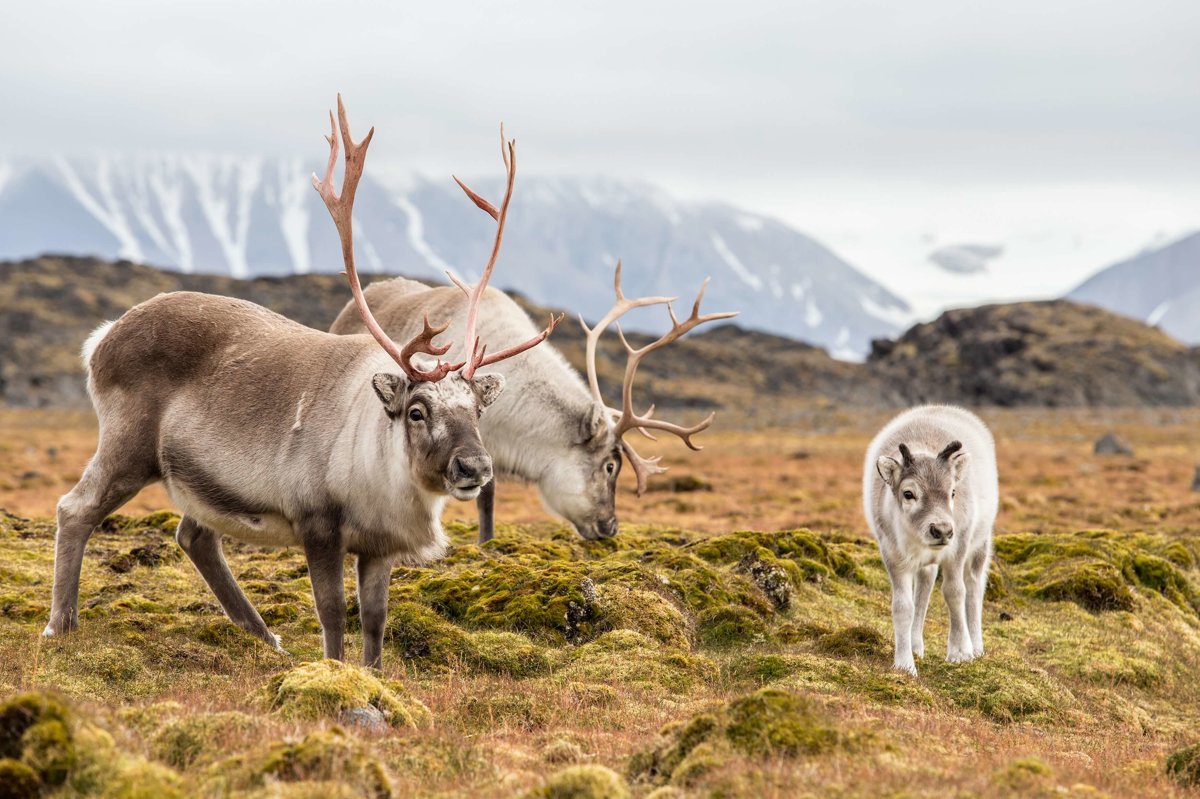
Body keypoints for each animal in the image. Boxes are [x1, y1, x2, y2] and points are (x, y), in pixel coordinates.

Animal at [859, 405, 998, 671]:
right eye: (908, 493)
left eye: (952, 492)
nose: (942, 530)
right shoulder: (893, 555)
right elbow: (903, 606)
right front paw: (904, 663)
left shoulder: (958, 548)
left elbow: (955, 592)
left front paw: (960, 651)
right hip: (926, 563)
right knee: (924, 586)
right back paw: (915, 645)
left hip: (981, 543)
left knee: (974, 587)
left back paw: (976, 645)